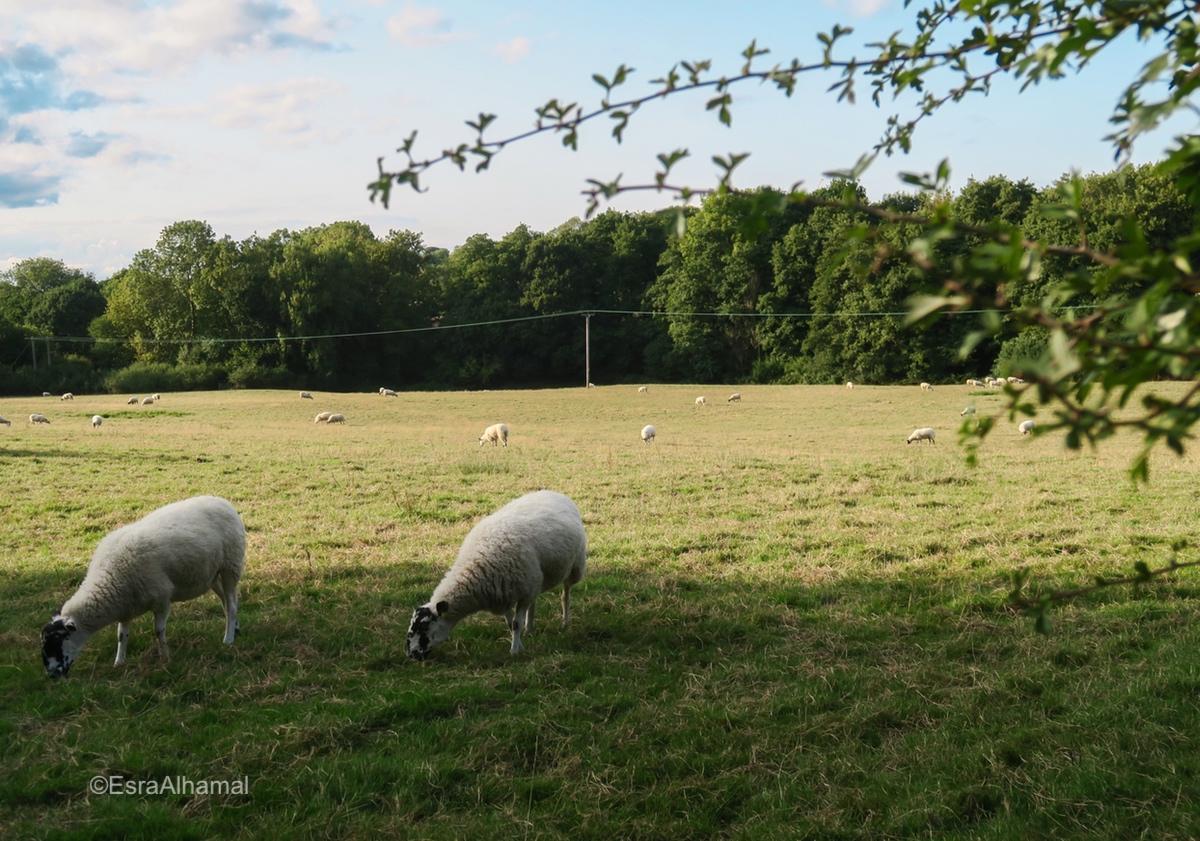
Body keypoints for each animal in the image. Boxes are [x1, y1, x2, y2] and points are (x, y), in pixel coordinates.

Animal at [39, 491, 246, 676]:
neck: (109, 576)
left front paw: (165, 657)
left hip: (230, 566)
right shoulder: (126, 607)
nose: (51, 674)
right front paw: (119, 662)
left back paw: (228, 639)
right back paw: (235, 629)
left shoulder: (162, 599)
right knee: (226, 601)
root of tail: (222, 501)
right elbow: (121, 636)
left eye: (59, 639)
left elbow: (158, 631)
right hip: (211, 575)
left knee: (232, 605)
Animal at [405, 489, 588, 657]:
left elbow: (516, 624)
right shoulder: (503, 595)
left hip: (574, 567)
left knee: (565, 595)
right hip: (536, 579)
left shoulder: (522, 593)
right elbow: (511, 624)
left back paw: (565, 623)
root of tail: (552, 491)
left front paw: (515, 650)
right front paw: (520, 643)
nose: (411, 655)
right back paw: (529, 628)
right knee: (534, 602)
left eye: (424, 626)